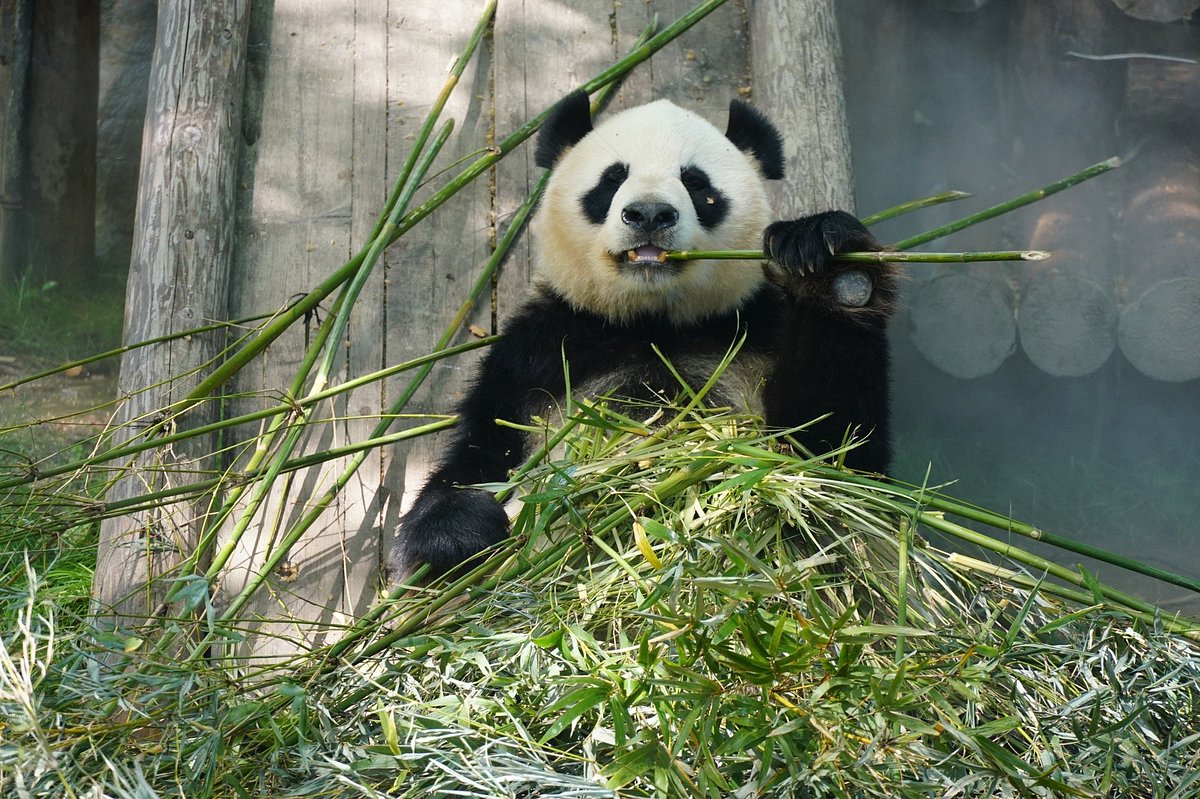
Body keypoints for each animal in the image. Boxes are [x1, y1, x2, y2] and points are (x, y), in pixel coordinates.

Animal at [389, 90, 897, 580]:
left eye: (697, 183)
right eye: (612, 179)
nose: (650, 214)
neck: (651, 323)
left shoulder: (754, 332)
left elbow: (834, 456)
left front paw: (829, 260)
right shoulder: (536, 355)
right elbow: (481, 453)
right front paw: (457, 531)